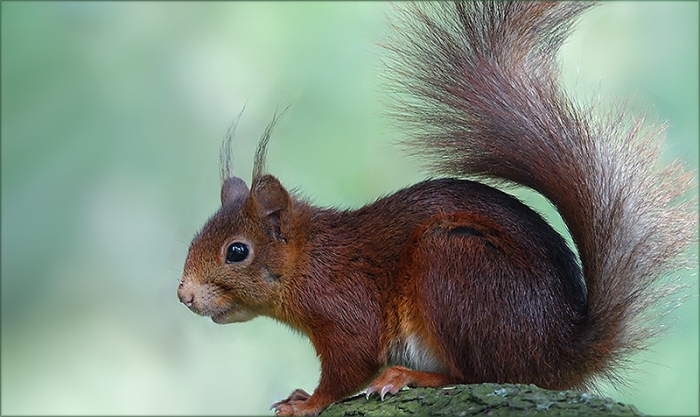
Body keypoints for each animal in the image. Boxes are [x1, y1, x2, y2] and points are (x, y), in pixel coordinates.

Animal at [178, 2, 696, 416]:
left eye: (237, 251)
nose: (183, 296)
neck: (310, 259)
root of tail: (558, 353)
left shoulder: (347, 307)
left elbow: (351, 366)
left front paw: (307, 403)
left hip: (452, 264)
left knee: (479, 373)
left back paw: (410, 376)